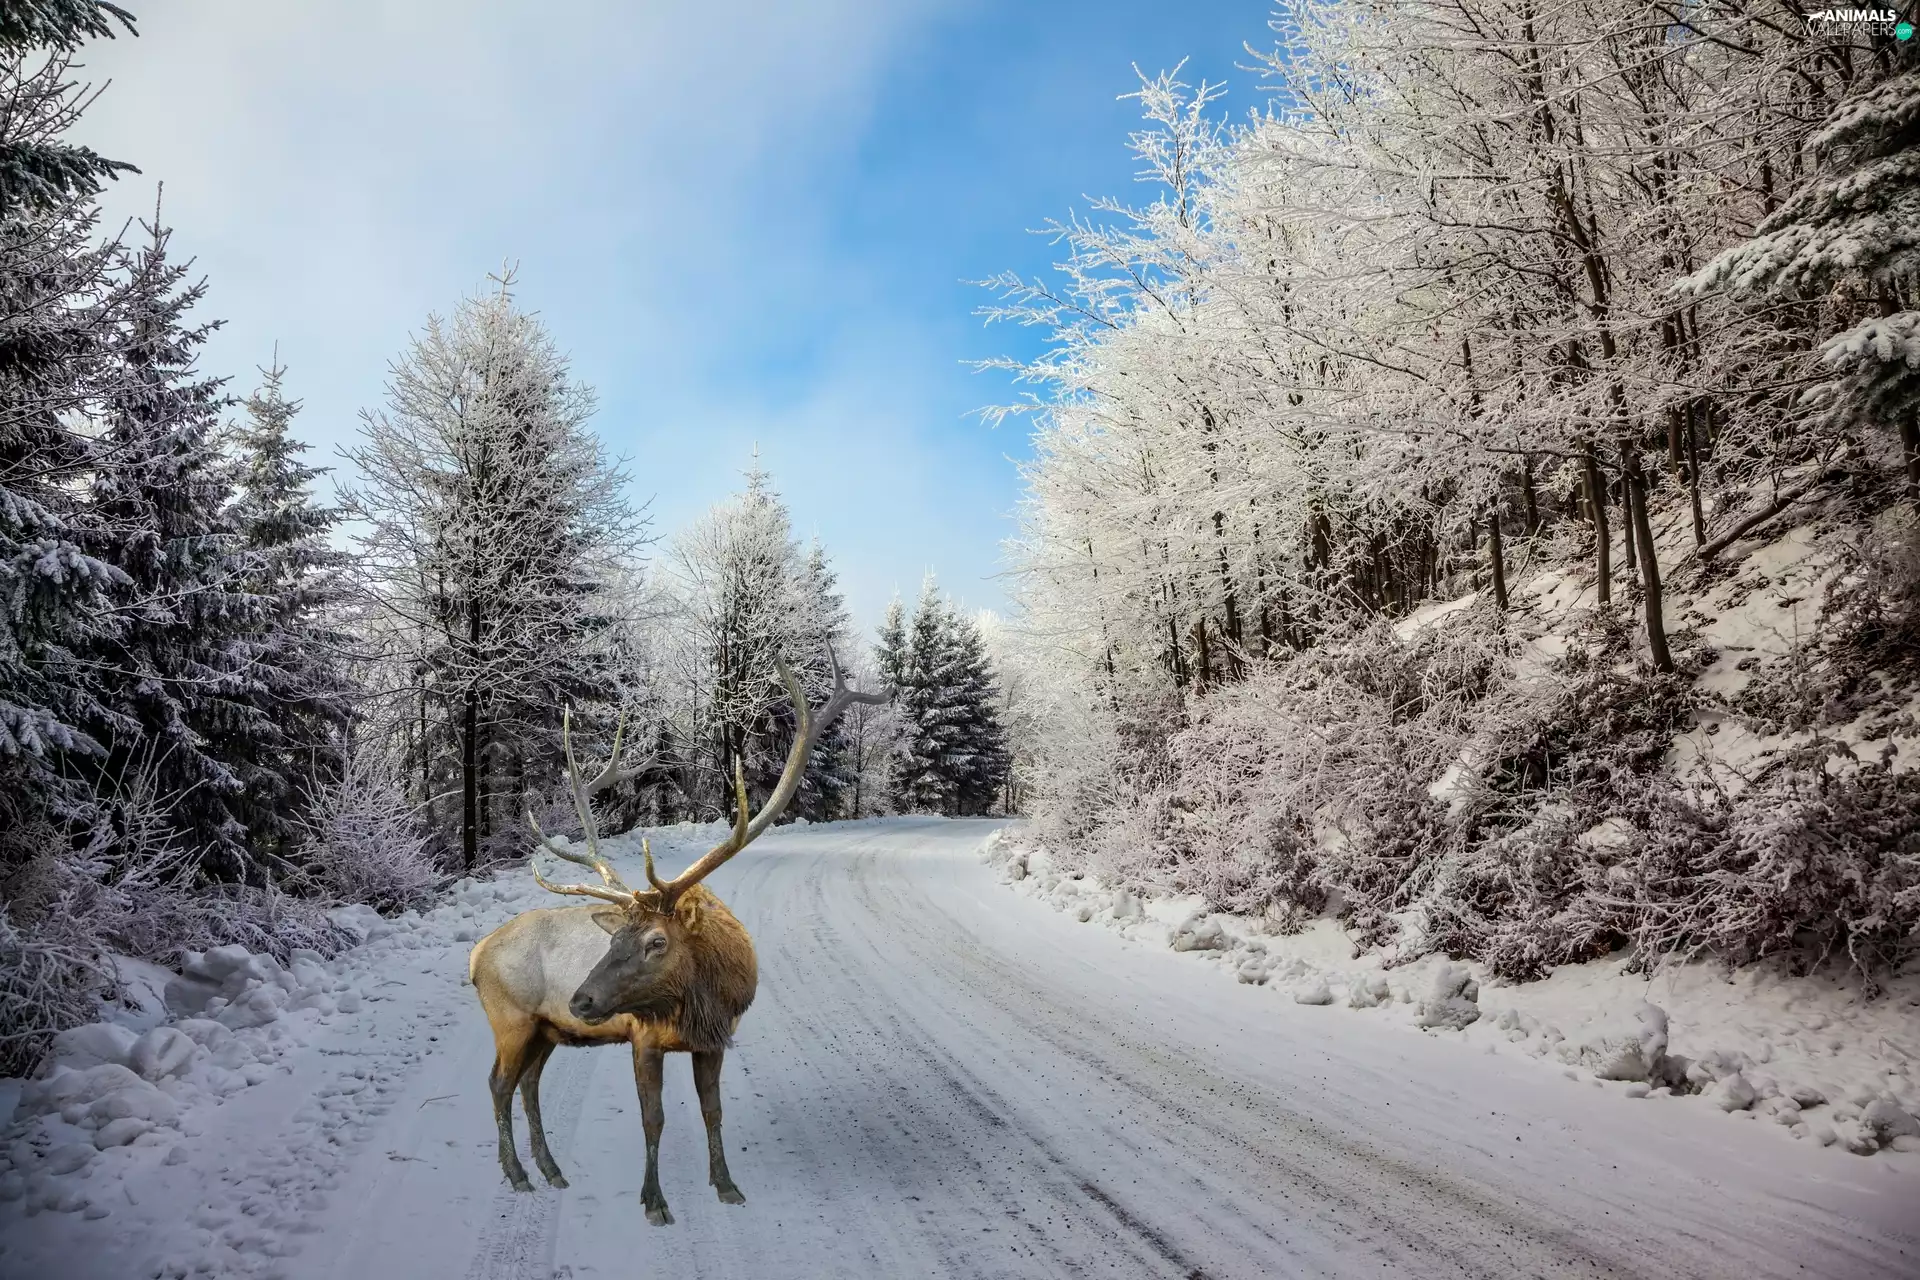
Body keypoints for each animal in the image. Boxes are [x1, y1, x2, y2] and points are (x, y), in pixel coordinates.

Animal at [467, 649, 886, 1225]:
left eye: (656, 942)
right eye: (615, 939)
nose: (582, 999)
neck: (700, 998)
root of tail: (475, 956)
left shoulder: (715, 1039)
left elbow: (712, 1111)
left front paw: (727, 1185)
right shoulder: (643, 1036)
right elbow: (655, 1118)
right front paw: (654, 1201)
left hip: (545, 1029)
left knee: (527, 1085)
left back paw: (551, 1170)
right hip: (511, 1017)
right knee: (497, 1084)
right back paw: (517, 1174)